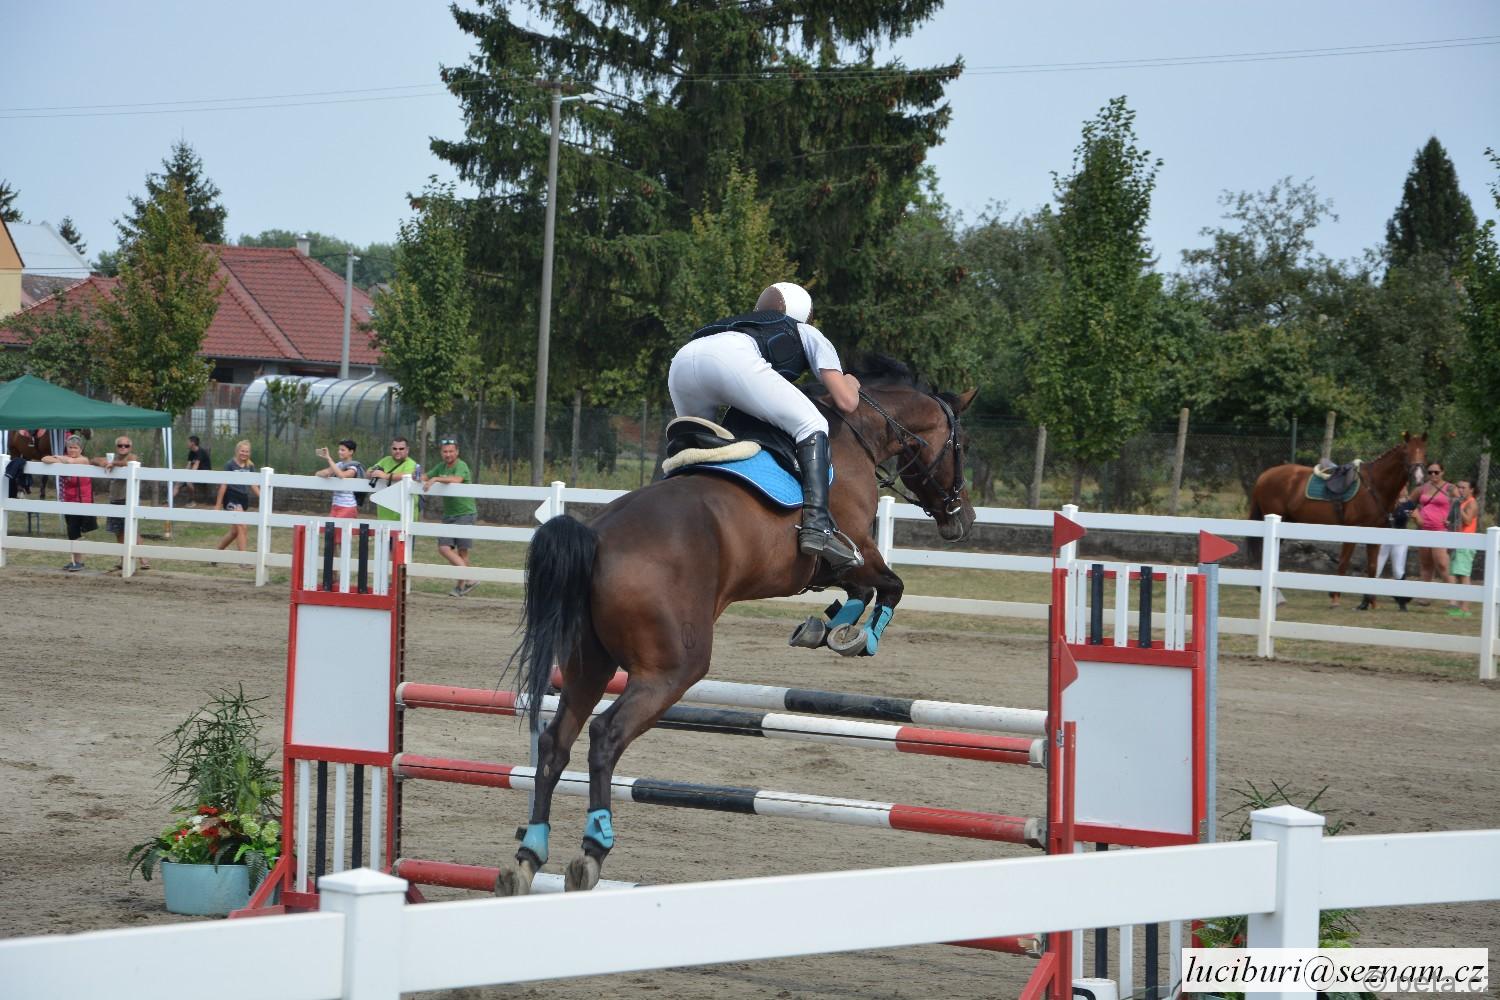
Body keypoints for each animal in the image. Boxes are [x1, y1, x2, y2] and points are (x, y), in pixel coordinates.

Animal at [495, 358, 977, 895]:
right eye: (961, 444)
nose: (963, 519)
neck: (859, 432)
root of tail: (596, 537)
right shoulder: (855, 550)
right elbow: (890, 587)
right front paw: (854, 638)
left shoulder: (833, 568)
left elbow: (861, 592)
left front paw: (823, 627)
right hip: (673, 669)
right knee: (605, 735)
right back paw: (593, 849)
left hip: (586, 665)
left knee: (555, 743)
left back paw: (528, 855)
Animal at [1247, 433, 1428, 609]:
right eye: (1407, 452)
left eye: (1424, 453)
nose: (1419, 477)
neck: (1374, 486)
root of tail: (1264, 476)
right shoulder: (1353, 530)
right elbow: (1343, 564)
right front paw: (1335, 598)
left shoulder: (1375, 532)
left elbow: (1372, 567)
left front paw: (1370, 602)